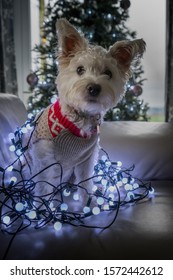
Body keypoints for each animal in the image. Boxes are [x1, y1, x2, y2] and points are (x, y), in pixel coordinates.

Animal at [22, 18, 145, 201]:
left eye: (108, 73)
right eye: (80, 69)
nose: (94, 88)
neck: (78, 117)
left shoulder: (86, 159)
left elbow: (86, 182)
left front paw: (89, 202)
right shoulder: (45, 161)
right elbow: (44, 189)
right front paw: (42, 207)